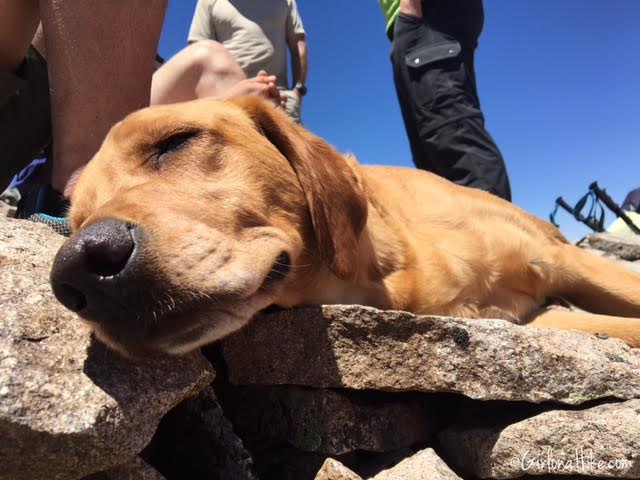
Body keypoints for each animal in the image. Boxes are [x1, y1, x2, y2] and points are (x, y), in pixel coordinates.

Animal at [50, 96, 640, 356]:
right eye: (73, 220)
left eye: (174, 142)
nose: (80, 271)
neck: (392, 270)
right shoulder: (533, 319)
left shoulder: (561, 264)